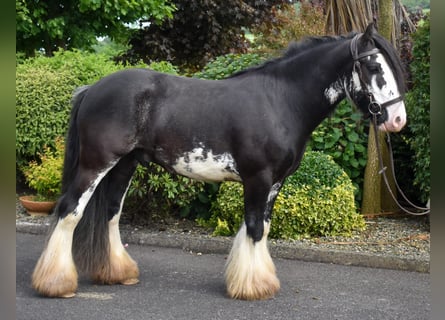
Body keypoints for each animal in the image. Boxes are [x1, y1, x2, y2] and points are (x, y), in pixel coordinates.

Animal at [31, 23, 406, 302]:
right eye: (374, 66)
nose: (398, 120)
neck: (280, 101)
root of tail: (91, 89)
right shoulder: (258, 178)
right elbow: (254, 228)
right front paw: (252, 287)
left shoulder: (275, 183)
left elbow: (263, 226)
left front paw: (259, 280)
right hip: (96, 164)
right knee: (69, 211)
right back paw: (56, 284)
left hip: (124, 165)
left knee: (110, 212)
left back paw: (119, 273)